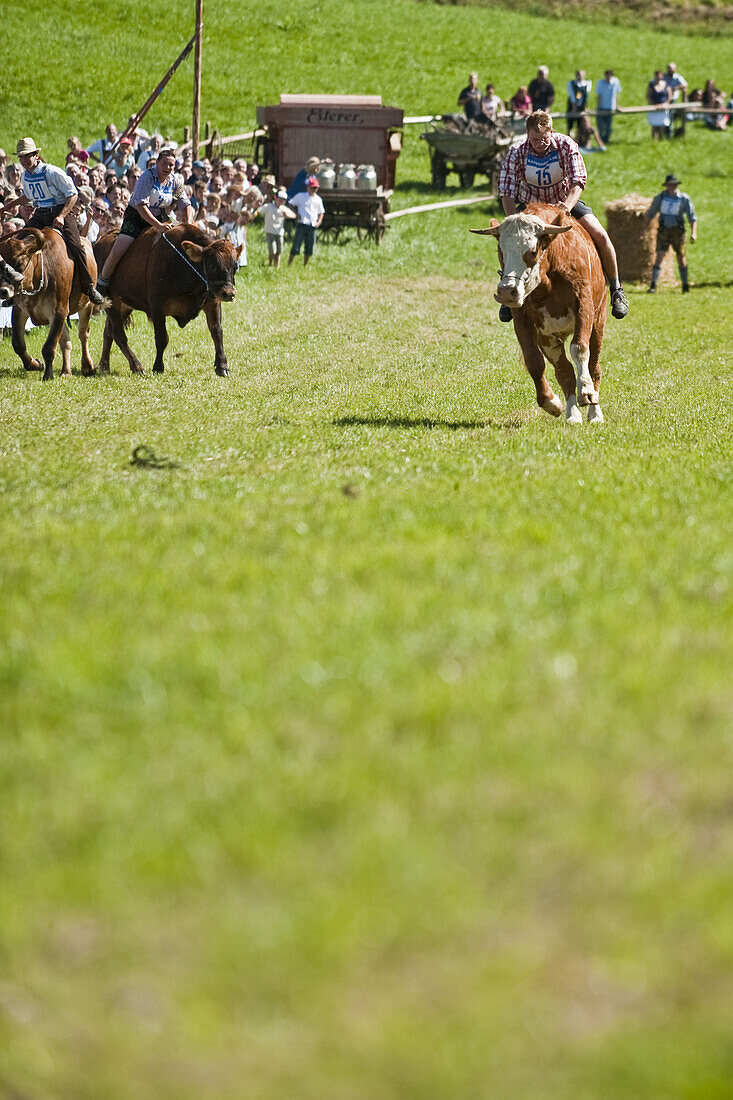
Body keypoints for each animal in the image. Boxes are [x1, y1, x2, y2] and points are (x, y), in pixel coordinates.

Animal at [0, 228, 96, 382]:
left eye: (19, 263)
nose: (3, 291)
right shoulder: (19, 310)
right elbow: (18, 344)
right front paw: (35, 364)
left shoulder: (59, 311)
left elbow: (49, 347)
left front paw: (48, 375)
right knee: (65, 342)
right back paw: (66, 371)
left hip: (86, 306)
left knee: (83, 334)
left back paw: (87, 366)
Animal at [93, 223, 241, 378]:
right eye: (212, 265)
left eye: (235, 266)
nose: (229, 293)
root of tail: (101, 240)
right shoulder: (157, 306)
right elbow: (162, 338)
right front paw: (158, 366)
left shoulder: (213, 302)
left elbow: (217, 332)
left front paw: (222, 366)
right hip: (112, 302)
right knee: (118, 334)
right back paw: (137, 365)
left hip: (123, 305)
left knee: (108, 332)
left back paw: (104, 365)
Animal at [473, 200, 603, 422]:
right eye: (501, 251)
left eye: (532, 251)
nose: (507, 291)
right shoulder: (524, 319)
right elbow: (533, 360)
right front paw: (551, 402)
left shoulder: (584, 306)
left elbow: (579, 348)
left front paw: (585, 391)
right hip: (549, 338)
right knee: (564, 371)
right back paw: (572, 414)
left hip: (598, 322)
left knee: (594, 365)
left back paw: (594, 412)